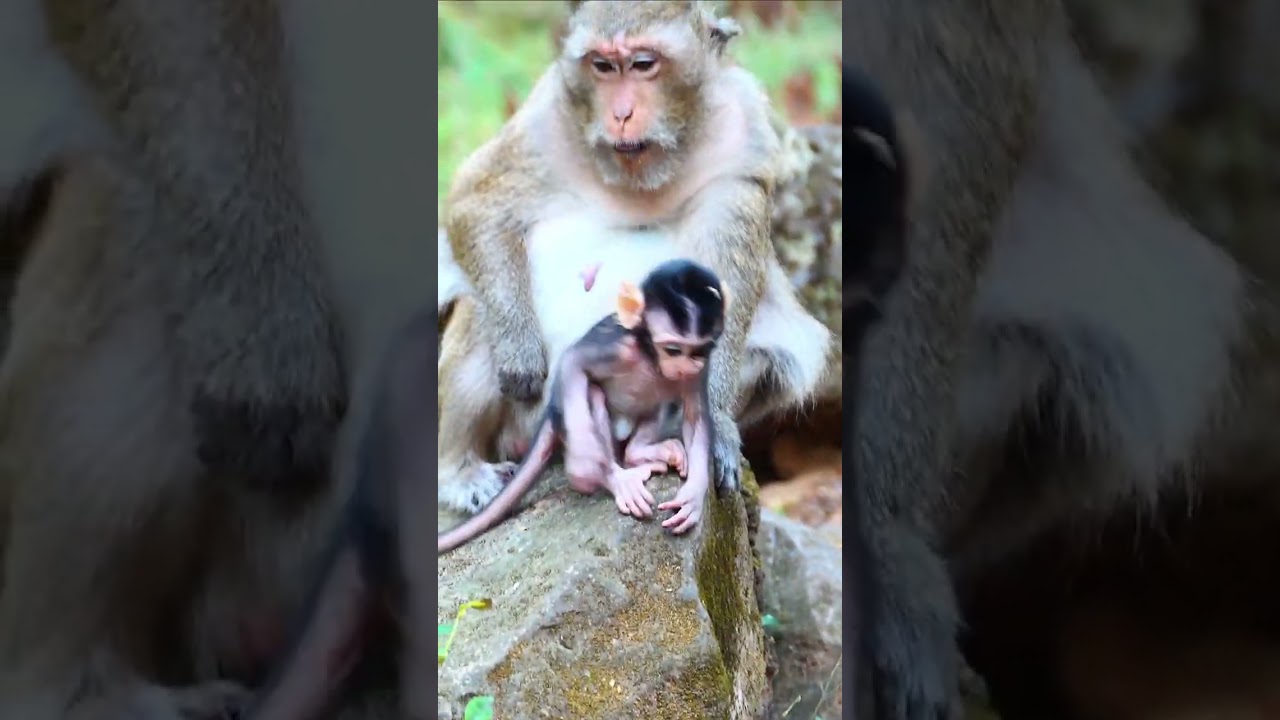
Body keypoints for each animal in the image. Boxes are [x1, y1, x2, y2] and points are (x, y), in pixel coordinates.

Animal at [435, 0, 834, 519]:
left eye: (644, 64)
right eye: (603, 66)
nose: (620, 112)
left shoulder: (739, 145)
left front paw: (717, 425)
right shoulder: (545, 120)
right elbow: (474, 204)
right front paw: (519, 352)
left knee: (776, 361)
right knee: (482, 310)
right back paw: (459, 470)